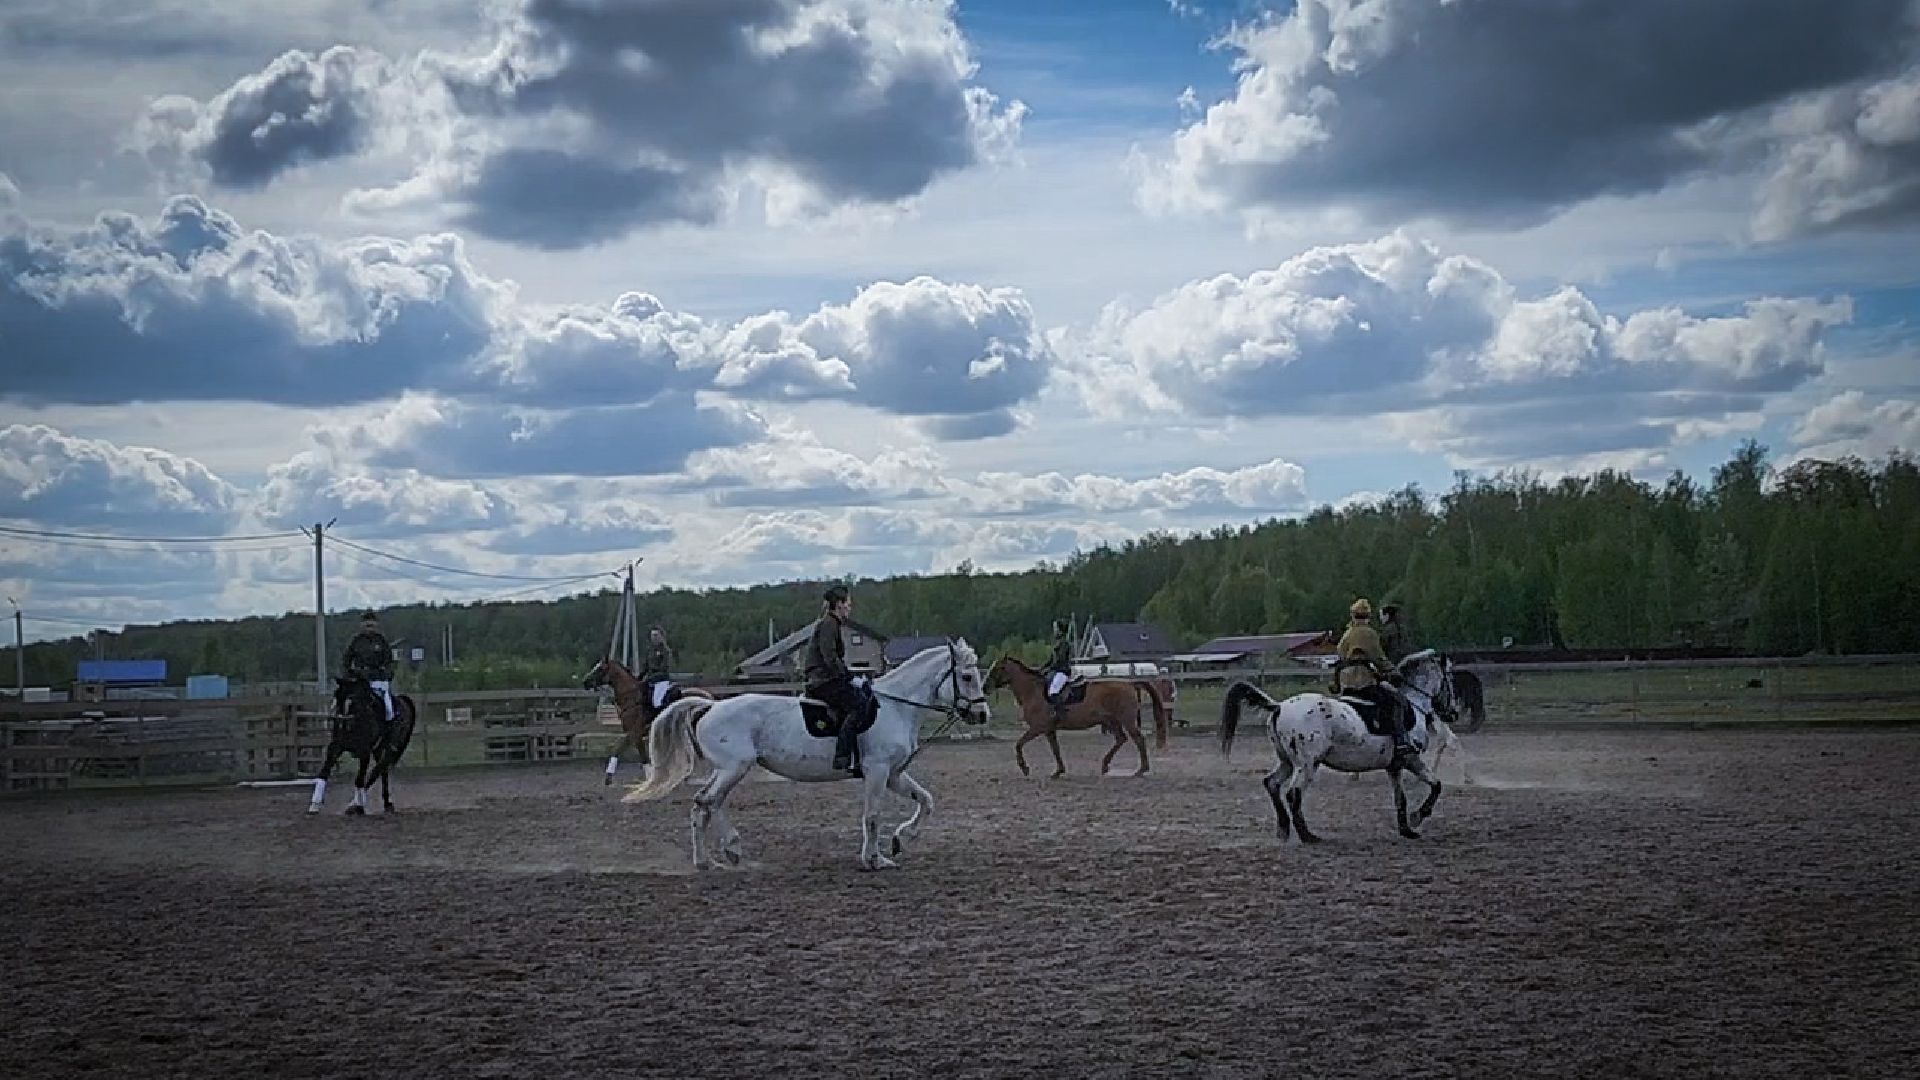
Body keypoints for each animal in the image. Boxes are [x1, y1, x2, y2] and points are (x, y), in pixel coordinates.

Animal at [308, 676, 417, 816]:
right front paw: (314, 805)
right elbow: (323, 773)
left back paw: (358, 804)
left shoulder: (364, 752)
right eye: (337, 696)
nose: (342, 722)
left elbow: (359, 779)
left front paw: (358, 806)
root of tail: (402, 700)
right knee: (383, 772)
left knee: (377, 771)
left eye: (352, 699)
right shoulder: (336, 747)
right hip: (378, 750)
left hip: (390, 749)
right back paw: (386, 804)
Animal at [582, 656, 714, 784]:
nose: (585, 682)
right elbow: (643, 756)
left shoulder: (634, 732)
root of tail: (709, 698)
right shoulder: (636, 735)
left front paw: (609, 777)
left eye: (600, 669)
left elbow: (619, 749)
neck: (632, 697)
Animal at [623, 640, 991, 871]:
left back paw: (713, 858)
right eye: (967, 676)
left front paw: (902, 839)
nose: (982, 714)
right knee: (708, 802)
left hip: (726, 769)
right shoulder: (877, 771)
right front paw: (875, 859)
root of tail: (711, 706)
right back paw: (724, 851)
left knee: (706, 803)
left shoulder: (894, 774)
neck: (896, 706)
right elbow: (872, 816)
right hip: (734, 768)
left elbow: (926, 800)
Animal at [986, 656, 1170, 777]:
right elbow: (1055, 749)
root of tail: (1130, 683)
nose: (985, 687)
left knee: (1138, 739)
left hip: (1126, 720)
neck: (1032, 691)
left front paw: (1024, 767)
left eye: (998, 668)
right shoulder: (1049, 729)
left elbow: (1018, 744)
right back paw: (1105, 766)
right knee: (1121, 739)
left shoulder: (1038, 728)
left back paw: (1141, 769)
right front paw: (1058, 771)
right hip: (1112, 720)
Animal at [1217, 651, 1460, 843]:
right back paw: (1307, 836)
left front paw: (1407, 830)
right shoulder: (1411, 759)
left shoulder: (1394, 766)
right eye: (1450, 678)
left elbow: (1400, 798)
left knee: (1272, 784)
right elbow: (1436, 785)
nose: (1454, 713)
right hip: (1307, 764)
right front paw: (1418, 817)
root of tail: (1279, 706)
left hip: (1287, 762)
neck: (1413, 704)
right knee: (1293, 793)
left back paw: (1284, 829)